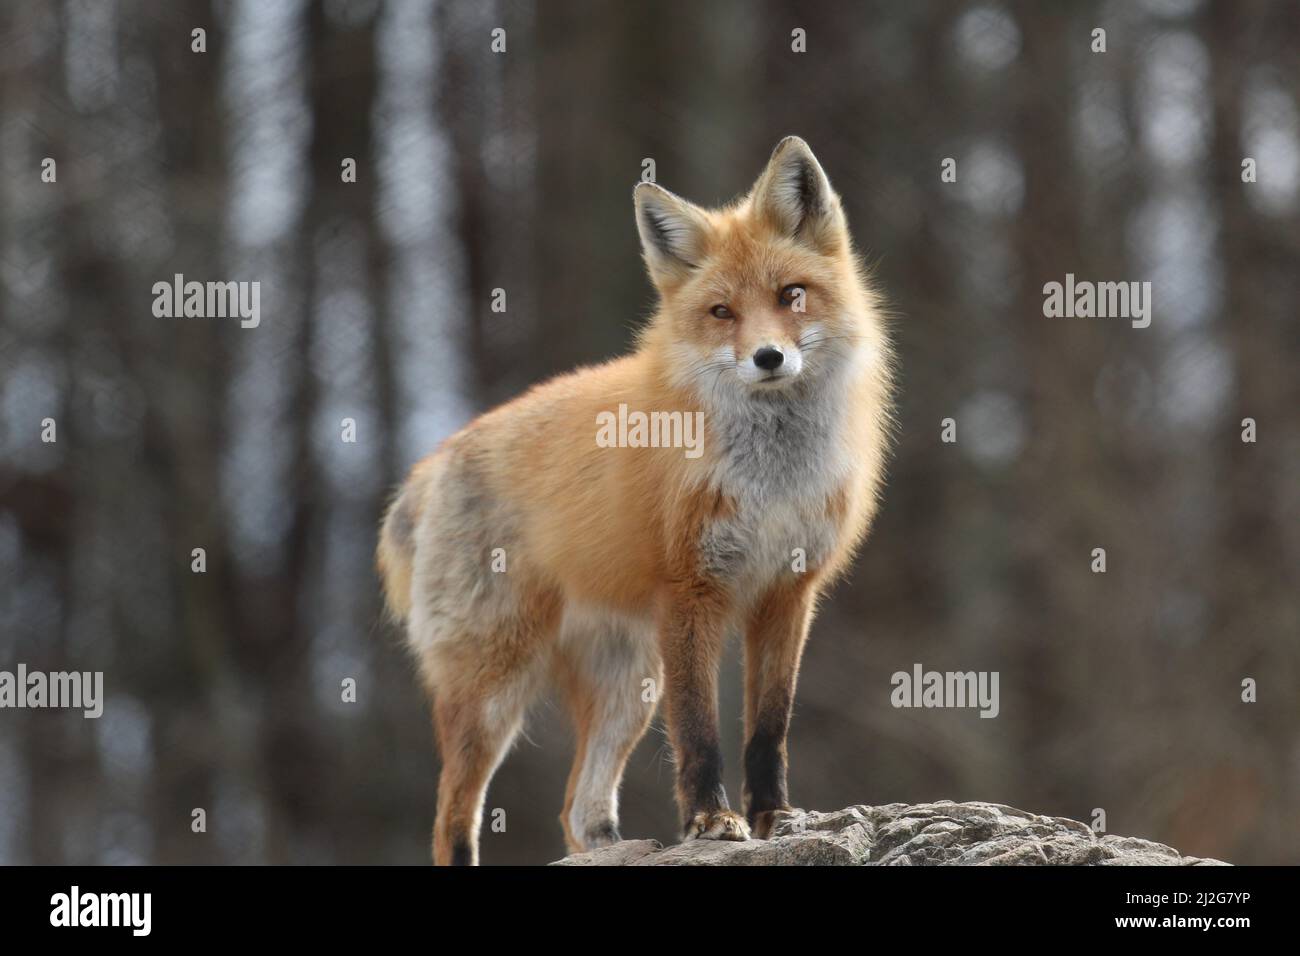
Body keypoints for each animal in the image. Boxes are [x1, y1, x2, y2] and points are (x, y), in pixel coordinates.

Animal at [377, 136, 894, 865]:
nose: (768, 357)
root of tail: (433, 464)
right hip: (494, 688)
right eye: (722, 313)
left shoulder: (789, 592)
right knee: (452, 817)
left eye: (791, 295)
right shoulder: (690, 591)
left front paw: (774, 818)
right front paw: (711, 821)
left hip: (628, 687)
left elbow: (770, 725)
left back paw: (611, 845)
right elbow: (699, 729)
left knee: (578, 809)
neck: (771, 479)